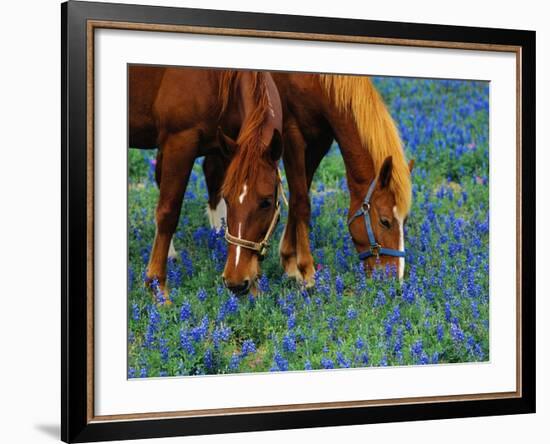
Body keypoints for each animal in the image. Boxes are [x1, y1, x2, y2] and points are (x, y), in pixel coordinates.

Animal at [130, 67, 284, 298]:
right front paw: (157, 286)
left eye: (266, 202)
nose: (236, 283)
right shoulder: (179, 142)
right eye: (228, 200)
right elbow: (168, 212)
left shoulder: (227, 146)